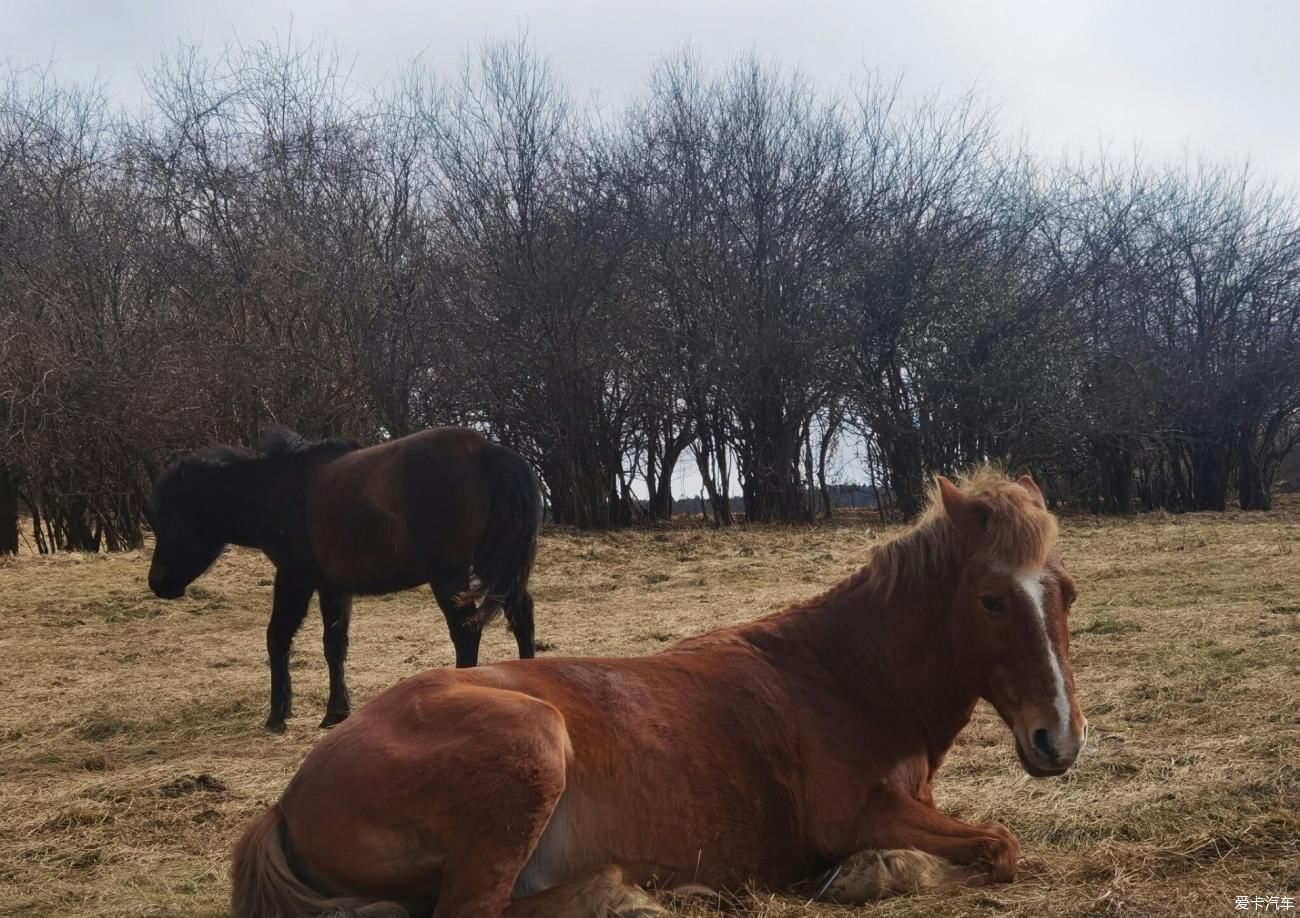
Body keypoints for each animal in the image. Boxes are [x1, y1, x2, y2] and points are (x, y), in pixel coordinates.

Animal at [148, 423, 543, 728]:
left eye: (172, 517)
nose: (156, 582)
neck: (276, 488)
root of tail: (486, 450)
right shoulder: (333, 587)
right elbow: (334, 645)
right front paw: (336, 712)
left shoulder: (294, 577)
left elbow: (277, 637)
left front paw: (278, 714)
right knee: (521, 616)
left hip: (450, 574)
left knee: (466, 631)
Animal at [231, 468, 1086, 910]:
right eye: (991, 600)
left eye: (1068, 592)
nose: (1059, 739)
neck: (844, 678)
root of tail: (286, 799)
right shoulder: (853, 816)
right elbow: (997, 845)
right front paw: (870, 874)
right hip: (532, 745)